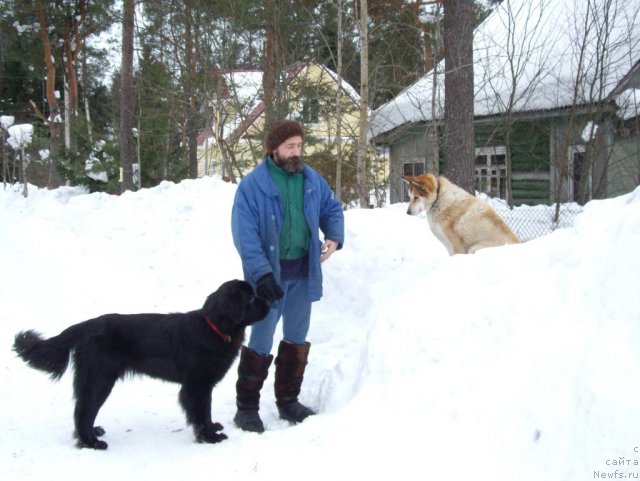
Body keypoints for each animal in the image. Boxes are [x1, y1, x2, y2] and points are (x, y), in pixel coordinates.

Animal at [13, 280, 268, 448]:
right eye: (250, 298)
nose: (269, 300)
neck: (214, 327)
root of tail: (85, 326)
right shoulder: (198, 385)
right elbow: (201, 411)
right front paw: (209, 436)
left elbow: (205, 411)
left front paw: (212, 428)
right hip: (100, 379)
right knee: (84, 410)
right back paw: (92, 442)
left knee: (83, 410)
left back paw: (93, 433)